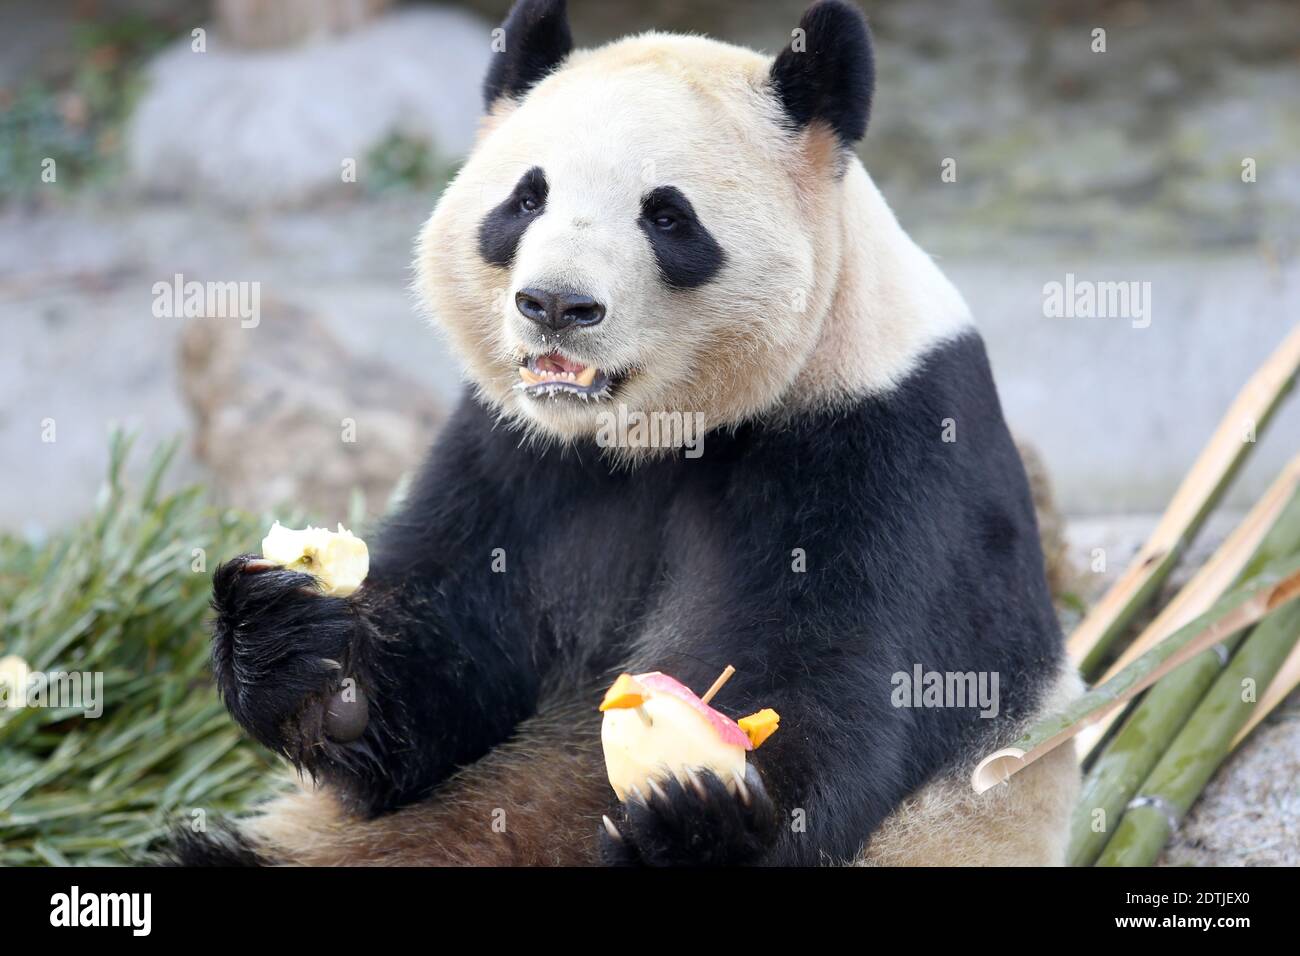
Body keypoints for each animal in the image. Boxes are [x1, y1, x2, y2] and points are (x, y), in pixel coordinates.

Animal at [178, 0, 1081, 868]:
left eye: (668, 216)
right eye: (526, 198)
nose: (555, 304)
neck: (651, 435)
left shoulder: (881, 446)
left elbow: (834, 684)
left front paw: (700, 820)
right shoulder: (515, 454)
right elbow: (440, 678)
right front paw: (293, 647)